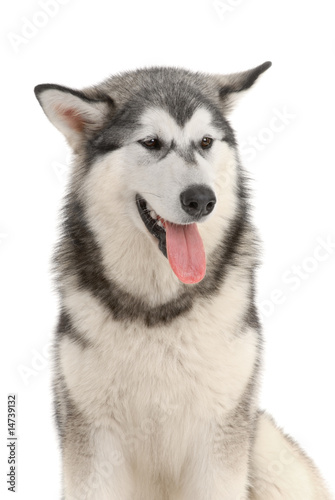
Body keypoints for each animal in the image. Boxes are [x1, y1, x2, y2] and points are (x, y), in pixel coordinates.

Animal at [34, 64, 334, 498]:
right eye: (151, 142)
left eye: (206, 141)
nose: (201, 199)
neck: (160, 309)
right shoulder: (93, 444)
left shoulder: (220, 436)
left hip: (266, 449)